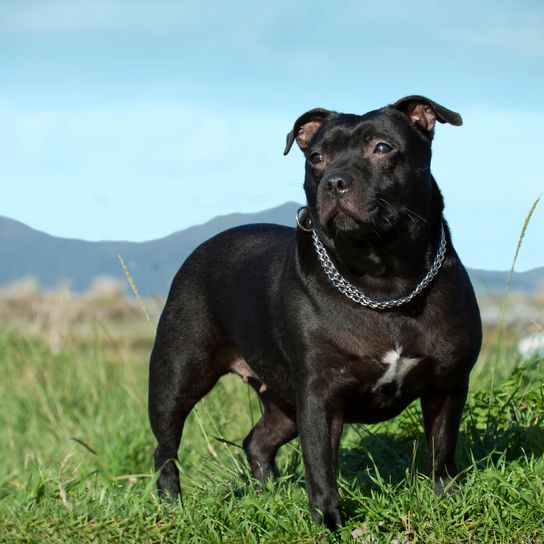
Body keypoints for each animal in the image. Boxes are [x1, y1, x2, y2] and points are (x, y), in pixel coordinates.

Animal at [148, 95, 480, 528]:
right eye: (317, 157)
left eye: (383, 147)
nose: (334, 182)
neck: (383, 281)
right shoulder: (319, 397)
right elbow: (321, 468)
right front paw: (328, 523)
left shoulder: (447, 383)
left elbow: (442, 449)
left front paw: (447, 501)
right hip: (177, 377)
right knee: (165, 448)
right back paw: (172, 506)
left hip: (283, 401)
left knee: (257, 440)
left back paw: (266, 495)